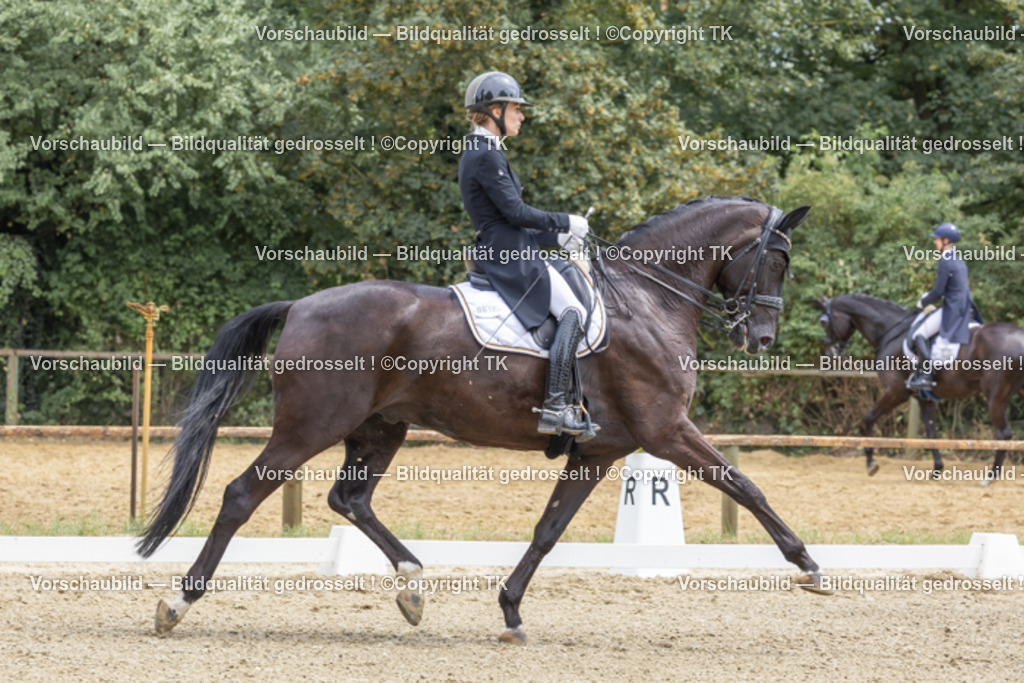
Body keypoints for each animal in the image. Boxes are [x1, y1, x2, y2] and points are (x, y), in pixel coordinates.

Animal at [138, 196, 821, 643]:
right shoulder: (666, 431)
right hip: (310, 428)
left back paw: (412, 586)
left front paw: (511, 611)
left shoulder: (600, 450)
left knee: (349, 499)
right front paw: (809, 567)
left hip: (381, 427)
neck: (647, 299)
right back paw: (178, 601)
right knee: (241, 493)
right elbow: (746, 485)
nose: (761, 337)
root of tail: (301, 305)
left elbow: (548, 531)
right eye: (779, 259)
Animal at [816, 293, 1024, 482]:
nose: (829, 354)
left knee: (1003, 434)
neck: (891, 333)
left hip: (995, 396)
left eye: (824, 322)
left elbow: (868, 418)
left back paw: (991, 476)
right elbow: (931, 433)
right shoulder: (923, 397)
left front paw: (870, 464)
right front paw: (937, 470)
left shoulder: (896, 392)